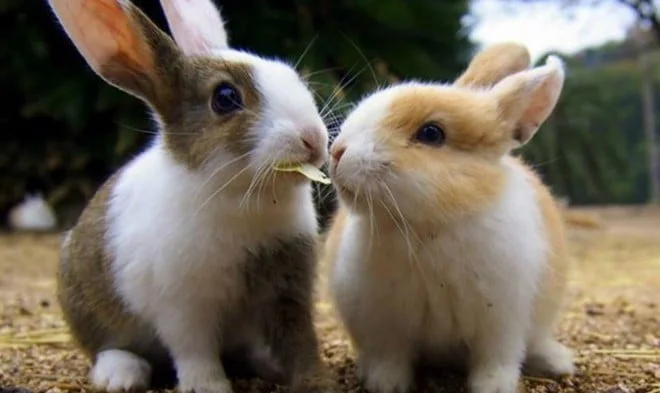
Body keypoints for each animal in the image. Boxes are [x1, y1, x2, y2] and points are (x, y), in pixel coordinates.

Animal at [47, 0, 330, 392]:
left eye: (291, 75)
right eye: (225, 98)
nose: (313, 138)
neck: (243, 198)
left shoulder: (288, 290)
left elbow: (301, 340)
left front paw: (314, 379)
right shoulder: (183, 309)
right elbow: (195, 352)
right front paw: (209, 386)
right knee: (105, 349)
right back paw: (122, 375)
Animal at [324, 43, 572, 392]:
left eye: (431, 134)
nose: (337, 151)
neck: (425, 228)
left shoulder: (503, 320)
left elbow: (496, 359)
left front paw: (493, 387)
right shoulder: (383, 322)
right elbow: (390, 357)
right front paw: (386, 385)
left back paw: (558, 362)